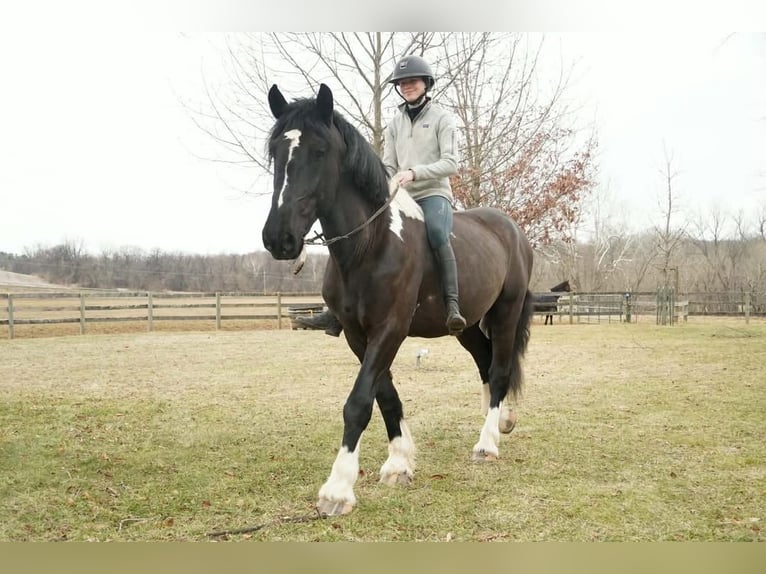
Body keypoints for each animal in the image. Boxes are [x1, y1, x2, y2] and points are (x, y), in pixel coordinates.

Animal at [261, 83, 534, 516]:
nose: (279, 239)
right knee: (485, 363)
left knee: (500, 370)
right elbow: (385, 396)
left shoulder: (389, 329)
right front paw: (399, 463)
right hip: (466, 326)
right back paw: (501, 421)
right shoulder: (358, 334)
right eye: (275, 151)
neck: (369, 245)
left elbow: (358, 401)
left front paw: (337, 490)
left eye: (319, 151)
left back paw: (487, 443)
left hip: (507, 313)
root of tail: (512, 230)